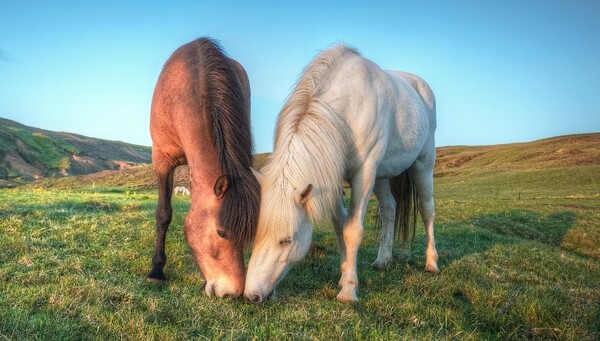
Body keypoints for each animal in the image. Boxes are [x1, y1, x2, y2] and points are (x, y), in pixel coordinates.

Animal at [246, 43, 438, 302]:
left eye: (286, 240)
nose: (251, 295)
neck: (347, 109)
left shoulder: (364, 174)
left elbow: (352, 229)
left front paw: (348, 289)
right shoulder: (333, 177)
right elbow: (340, 226)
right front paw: (344, 274)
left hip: (423, 163)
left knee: (427, 210)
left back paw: (432, 263)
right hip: (382, 176)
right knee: (389, 208)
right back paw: (383, 260)